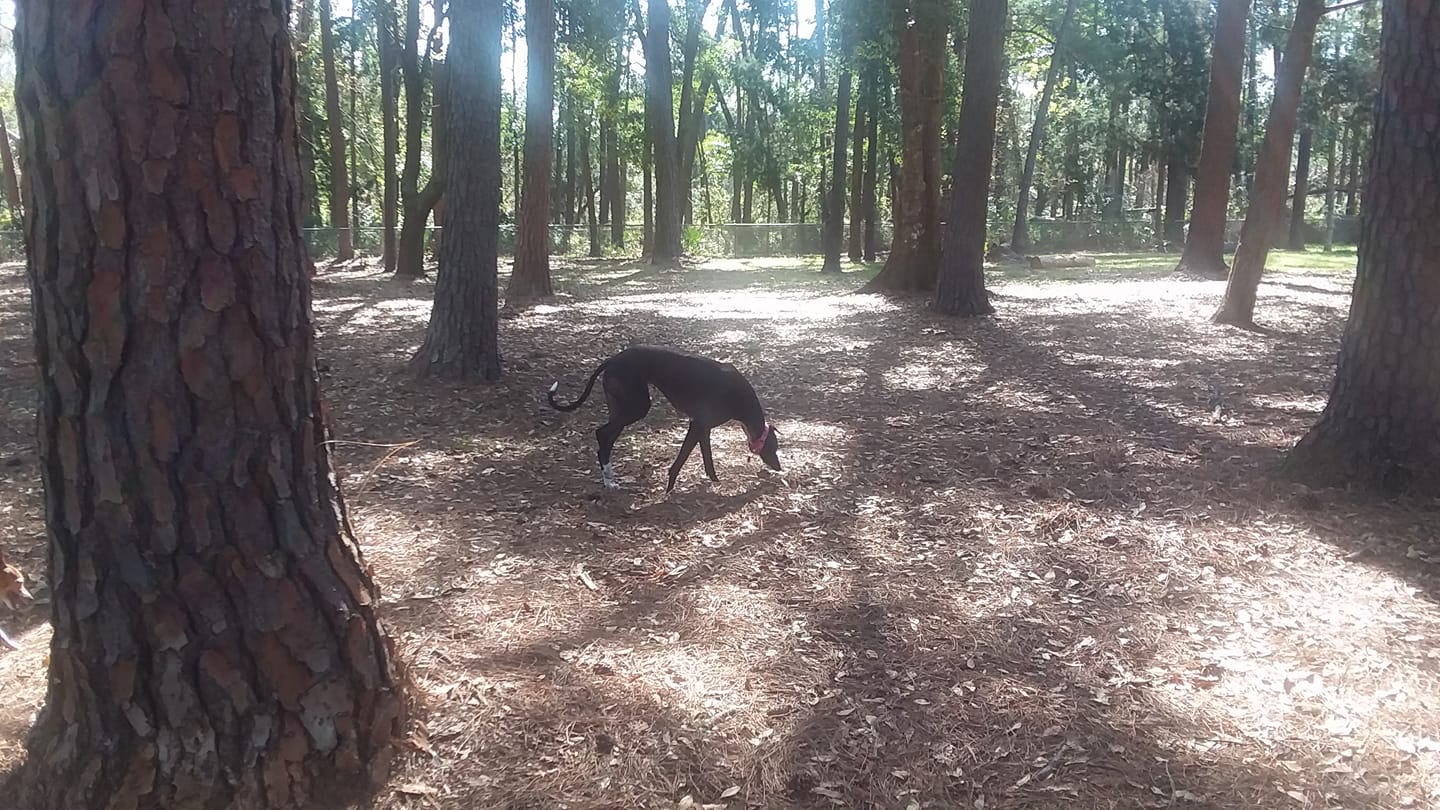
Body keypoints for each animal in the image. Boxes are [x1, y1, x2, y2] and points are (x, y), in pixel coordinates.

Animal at [547, 343, 777, 490]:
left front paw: (712, 479)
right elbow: (683, 457)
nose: (779, 467)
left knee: (605, 438)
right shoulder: (697, 425)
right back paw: (609, 480)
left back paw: (608, 478)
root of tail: (612, 360)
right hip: (636, 408)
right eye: (774, 448)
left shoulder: (703, 428)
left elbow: (707, 457)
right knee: (602, 434)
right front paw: (670, 486)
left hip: (622, 408)